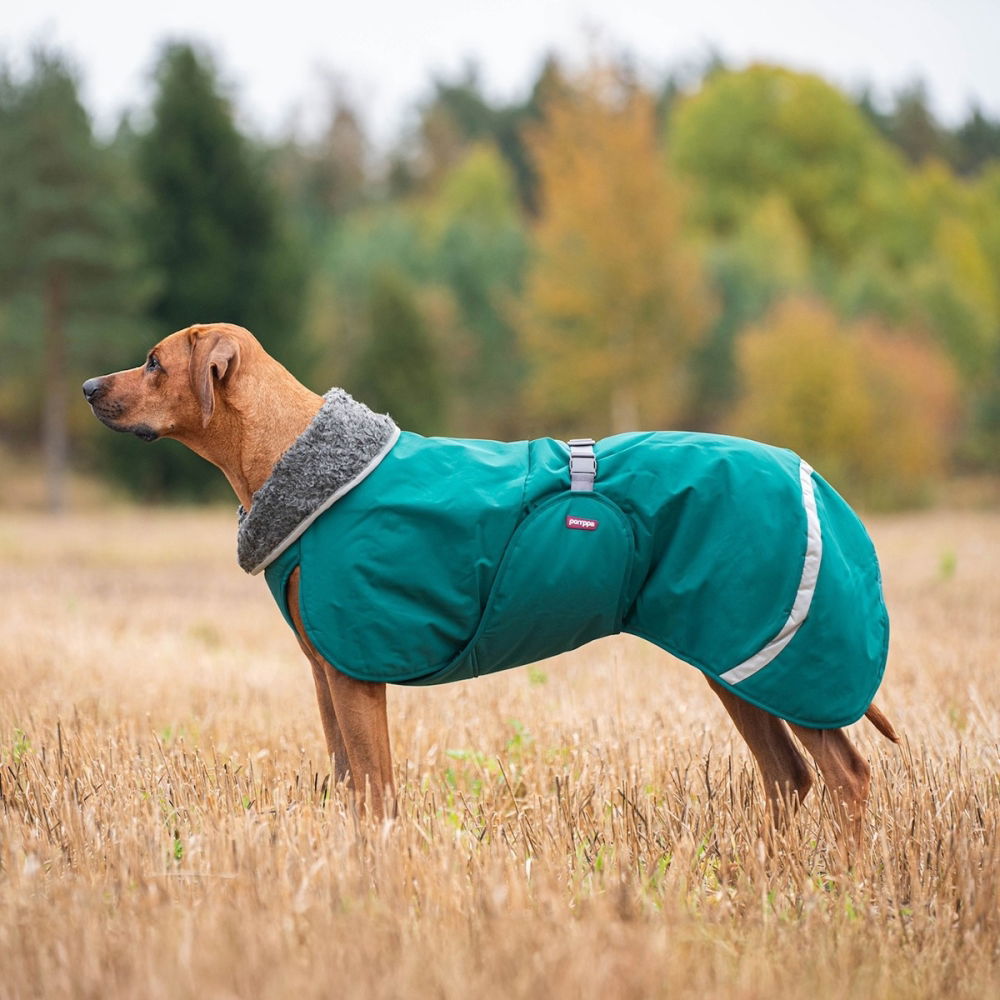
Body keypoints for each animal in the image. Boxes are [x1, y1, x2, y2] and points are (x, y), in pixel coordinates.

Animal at [84, 324, 900, 840]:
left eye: (153, 362)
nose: (89, 384)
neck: (291, 452)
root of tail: (816, 480)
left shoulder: (354, 675)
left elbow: (377, 796)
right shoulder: (326, 677)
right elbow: (350, 790)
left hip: (780, 661)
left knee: (849, 778)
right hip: (735, 660)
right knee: (788, 779)